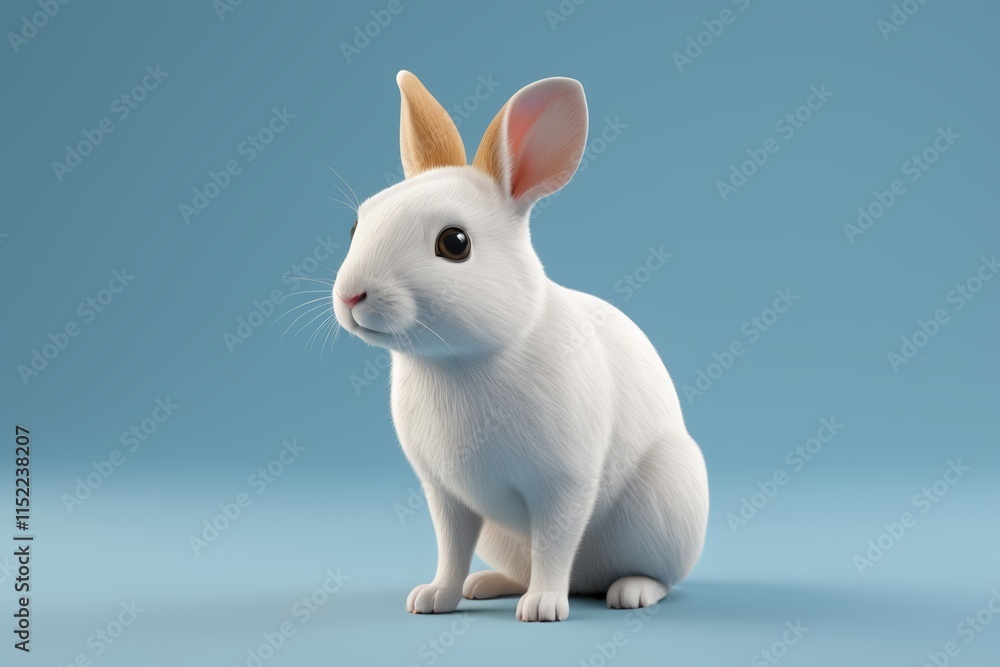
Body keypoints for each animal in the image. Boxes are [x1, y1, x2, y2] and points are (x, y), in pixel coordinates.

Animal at [332, 70, 709, 622]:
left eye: (455, 243)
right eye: (358, 224)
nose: (350, 295)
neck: (461, 361)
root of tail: (590, 582)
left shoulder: (563, 485)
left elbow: (554, 543)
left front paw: (544, 608)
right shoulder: (447, 494)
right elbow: (451, 549)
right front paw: (434, 598)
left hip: (665, 507)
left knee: (655, 575)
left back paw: (628, 592)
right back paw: (488, 584)